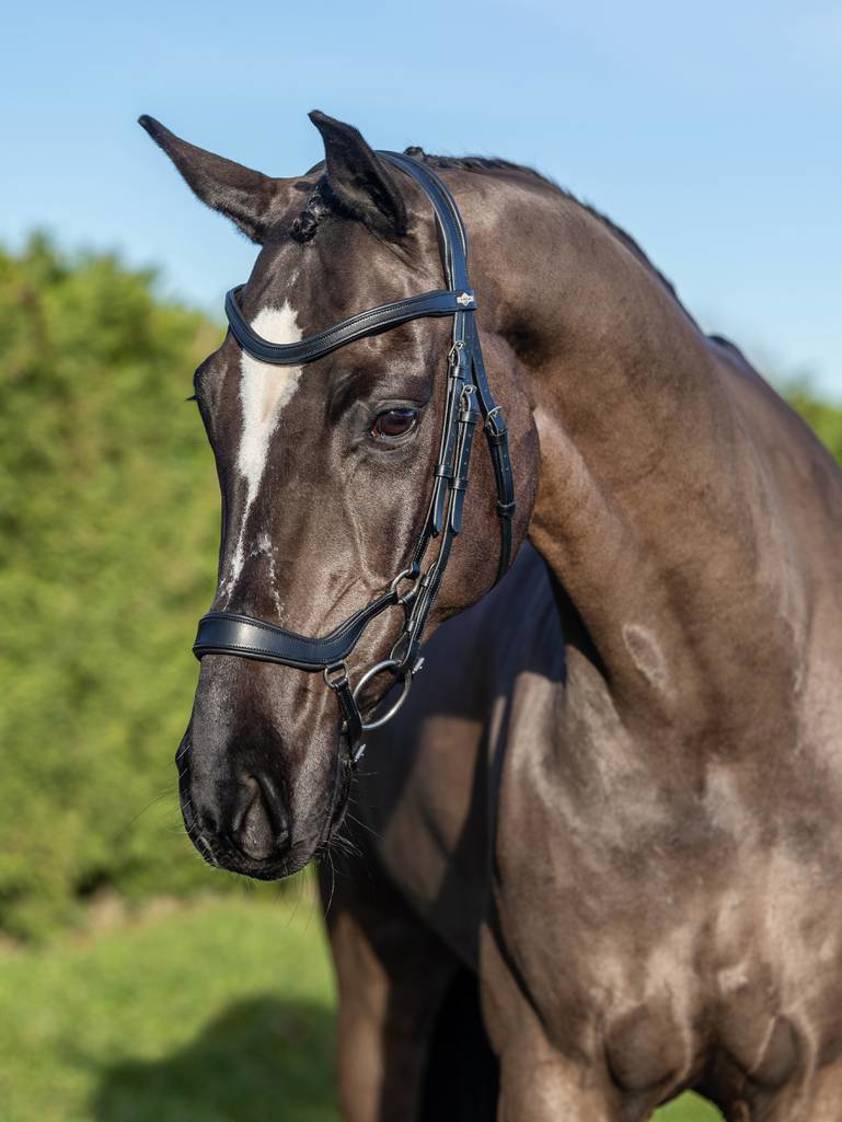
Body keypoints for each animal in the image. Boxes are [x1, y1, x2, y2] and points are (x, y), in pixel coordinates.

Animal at [142, 107, 842, 1122]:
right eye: (208, 401)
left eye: (395, 418)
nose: (229, 788)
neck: (722, 730)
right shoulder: (557, 1069)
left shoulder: (808, 1077)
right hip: (380, 979)